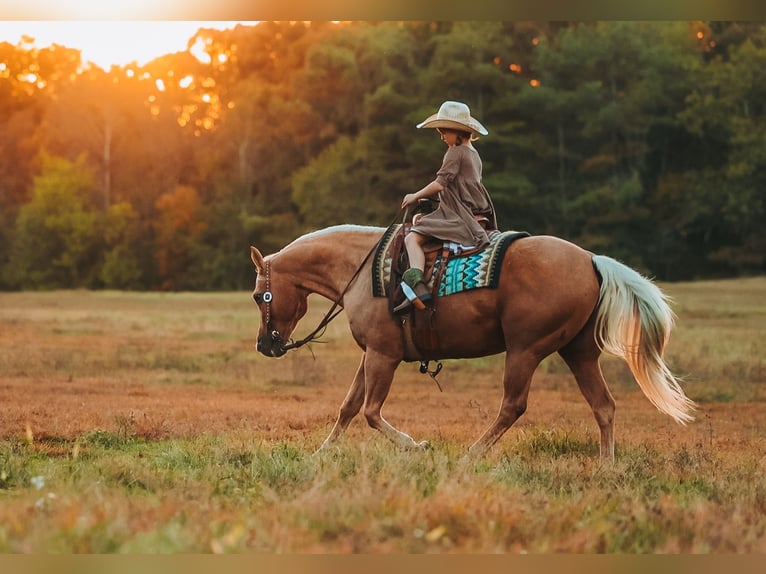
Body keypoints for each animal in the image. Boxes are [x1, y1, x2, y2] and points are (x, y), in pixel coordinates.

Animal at [249, 224, 695, 462]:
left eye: (257, 296)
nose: (265, 346)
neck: (361, 270)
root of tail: (590, 259)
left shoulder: (382, 356)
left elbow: (371, 412)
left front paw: (417, 446)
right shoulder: (373, 354)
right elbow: (348, 408)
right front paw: (321, 454)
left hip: (525, 350)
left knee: (512, 406)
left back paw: (472, 454)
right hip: (579, 352)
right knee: (603, 406)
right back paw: (607, 465)